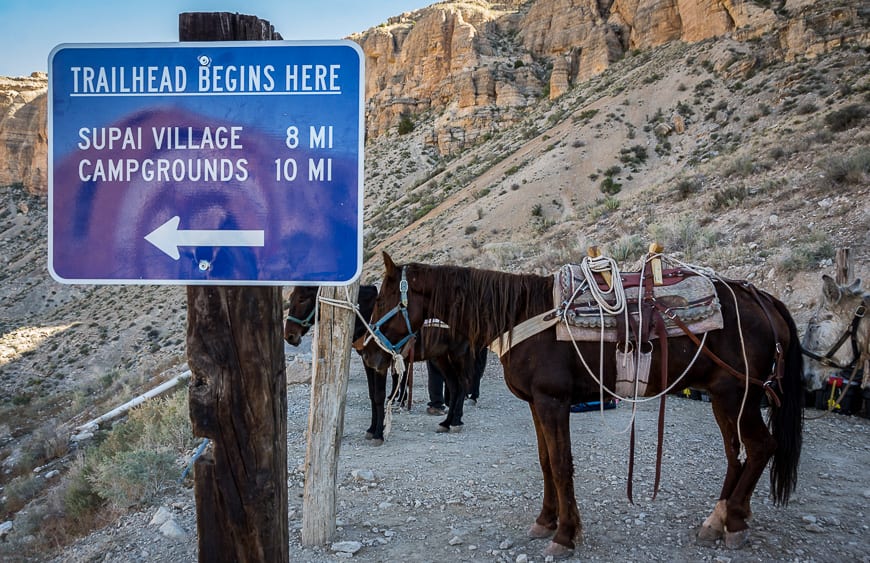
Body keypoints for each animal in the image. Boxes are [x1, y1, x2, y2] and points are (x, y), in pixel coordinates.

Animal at [360, 252, 804, 560]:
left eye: (381, 301)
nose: (368, 353)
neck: (521, 315)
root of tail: (763, 299)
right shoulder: (537, 405)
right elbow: (545, 463)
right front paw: (545, 521)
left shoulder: (553, 402)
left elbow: (560, 465)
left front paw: (565, 535)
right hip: (725, 398)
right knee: (735, 454)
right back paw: (717, 520)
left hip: (737, 394)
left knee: (760, 447)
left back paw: (734, 522)